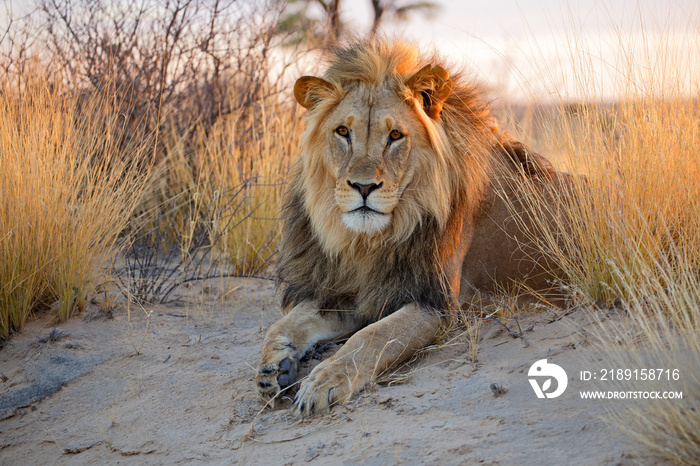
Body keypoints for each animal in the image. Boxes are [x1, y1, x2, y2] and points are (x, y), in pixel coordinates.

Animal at [256, 41, 568, 418]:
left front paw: (324, 381)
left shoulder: (436, 304)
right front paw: (274, 367)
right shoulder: (355, 292)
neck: (369, 242)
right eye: (343, 132)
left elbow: (372, 338)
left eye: (395, 136)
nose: (363, 187)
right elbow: (285, 323)